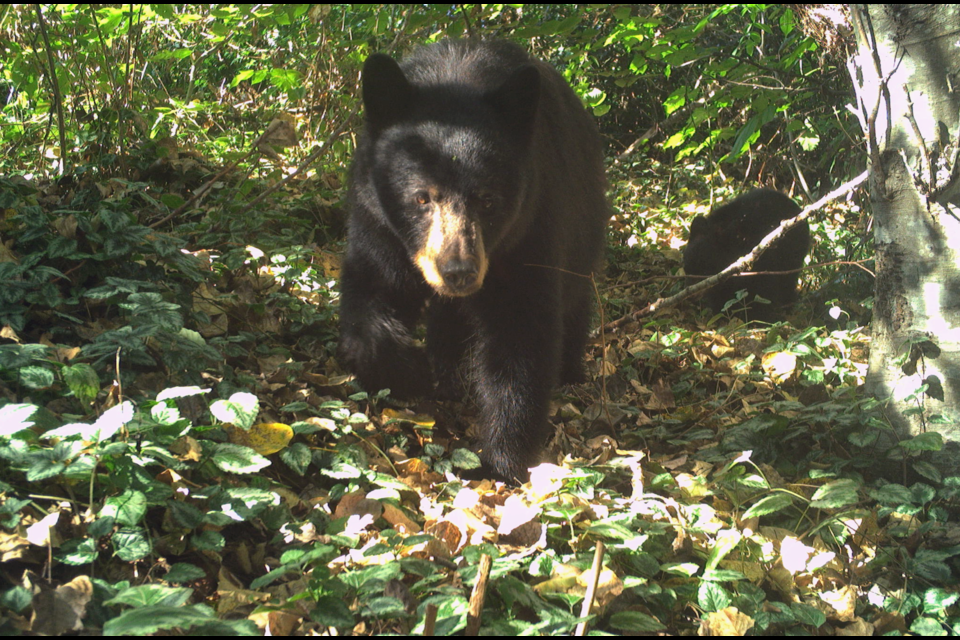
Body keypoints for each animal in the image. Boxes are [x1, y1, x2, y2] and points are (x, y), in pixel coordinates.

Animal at [338, 40, 608, 480]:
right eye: (421, 197)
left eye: (487, 200)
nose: (458, 273)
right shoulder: (377, 220)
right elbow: (373, 288)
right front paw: (408, 370)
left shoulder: (529, 228)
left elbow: (520, 334)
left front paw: (500, 460)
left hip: (584, 222)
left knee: (573, 299)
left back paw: (569, 371)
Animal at [684, 189, 808, 320]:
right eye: (687, 269)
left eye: (704, 271)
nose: (690, 296)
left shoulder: (765, 264)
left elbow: (764, 293)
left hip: (793, 255)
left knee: (788, 282)